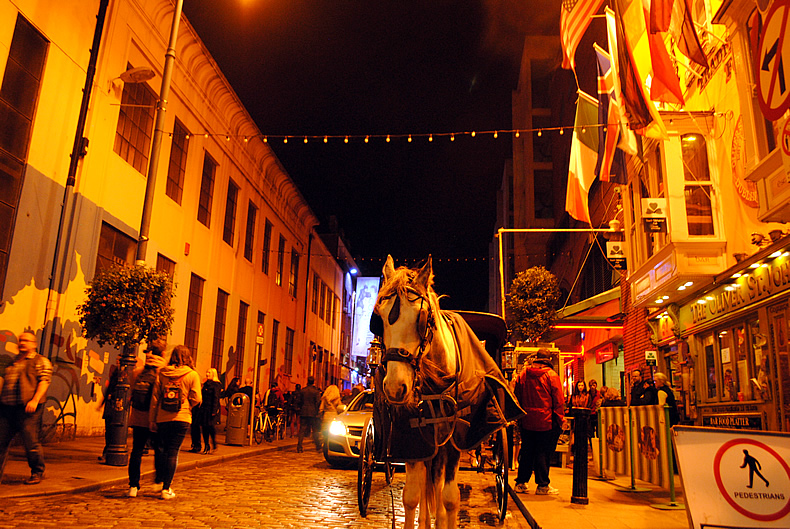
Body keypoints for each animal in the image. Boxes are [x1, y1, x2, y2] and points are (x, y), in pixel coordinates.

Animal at [372, 254, 524, 524]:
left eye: (422, 319)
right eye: (379, 319)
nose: (395, 387)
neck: (437, 385)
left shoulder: (455, 438)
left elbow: (450, 498)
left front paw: (444, 517)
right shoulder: (415, 440)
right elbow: (412, 496)